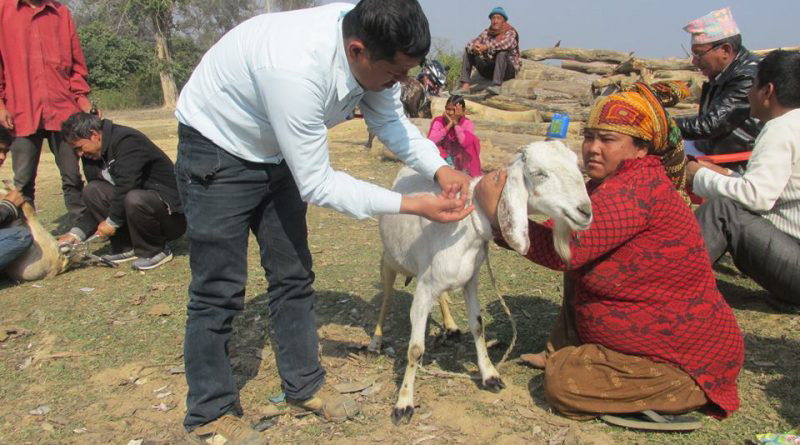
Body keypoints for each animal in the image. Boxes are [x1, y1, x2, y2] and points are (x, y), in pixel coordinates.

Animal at [376, 139, 592, 424]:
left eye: (578, 165)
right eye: (539, 173)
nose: (585, 211)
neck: (467, 228)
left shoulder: (470, 280)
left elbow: (478, 327)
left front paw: (489, 375)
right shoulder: (423, 290)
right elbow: (415, 349)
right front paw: (403, 403)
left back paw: (450, 326)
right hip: (390, 260)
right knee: (386, 295)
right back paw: (375, 340)